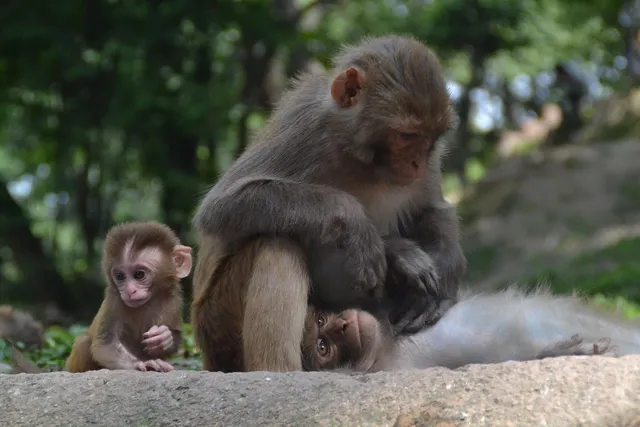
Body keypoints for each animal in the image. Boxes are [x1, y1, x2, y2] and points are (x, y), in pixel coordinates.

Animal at [65, 221, 192, 373]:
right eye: (120, 276)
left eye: (139, 274)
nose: (130, 290)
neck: (148, 302)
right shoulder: (114, 300)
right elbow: (105, 344)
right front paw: (141, 363)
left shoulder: (172, 301)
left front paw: (165, 337)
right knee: (83, 342)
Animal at [192, 35, 466, 373]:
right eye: (406, 135)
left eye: (431, 138)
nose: (417, 163)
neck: (362, 161)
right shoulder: (305, 126)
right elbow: (220, 208)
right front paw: (367, 231)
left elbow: (429, 209)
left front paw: (444, 272)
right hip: (218, 324)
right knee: (276, 244)